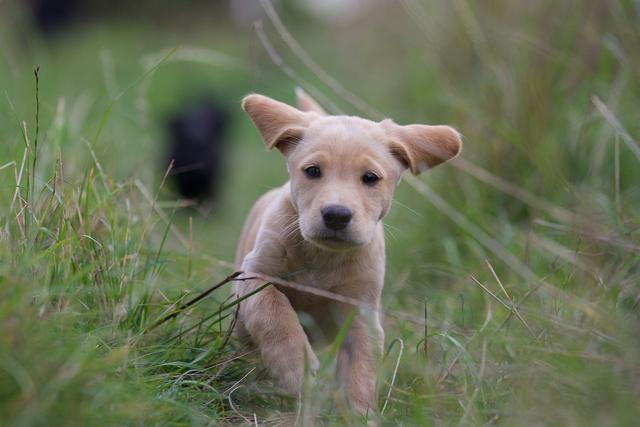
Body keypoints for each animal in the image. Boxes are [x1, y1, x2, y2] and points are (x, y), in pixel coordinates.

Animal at [234, 89, 460, 414]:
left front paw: (359, 413)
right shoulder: (254, 275)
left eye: (370, 178)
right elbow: (273, 310)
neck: (322, 257)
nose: (336, 215)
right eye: (313, 171)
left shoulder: (361, 313)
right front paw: (296, 367)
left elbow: (361, 369)